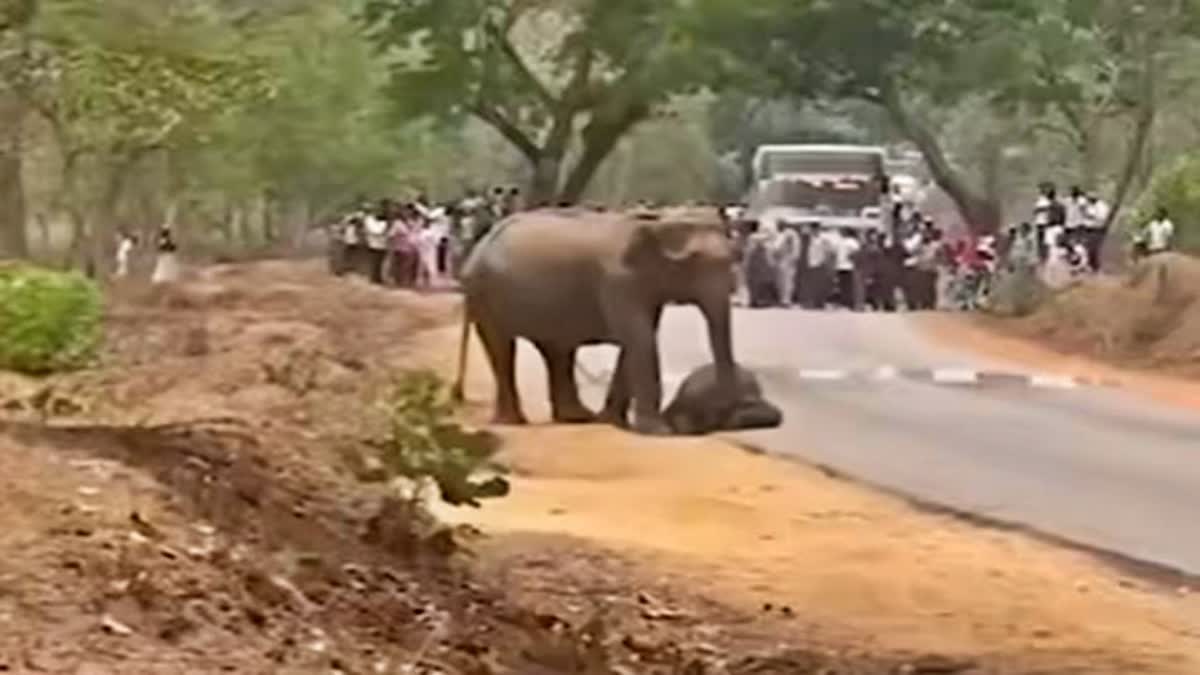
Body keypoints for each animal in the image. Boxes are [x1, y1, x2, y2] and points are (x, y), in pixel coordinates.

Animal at [451, 206, 729, 437]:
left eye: (733, 259)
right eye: (693, 262)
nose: (717, 420)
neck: (658, 220)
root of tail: (479, 245)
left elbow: (637, 341)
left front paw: (613, 422)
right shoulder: (619, 281)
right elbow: (640, 339)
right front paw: (659, 432)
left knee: (557, 351)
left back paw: (577, 417)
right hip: (485, 294)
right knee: (503, 348)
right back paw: (513, 422)